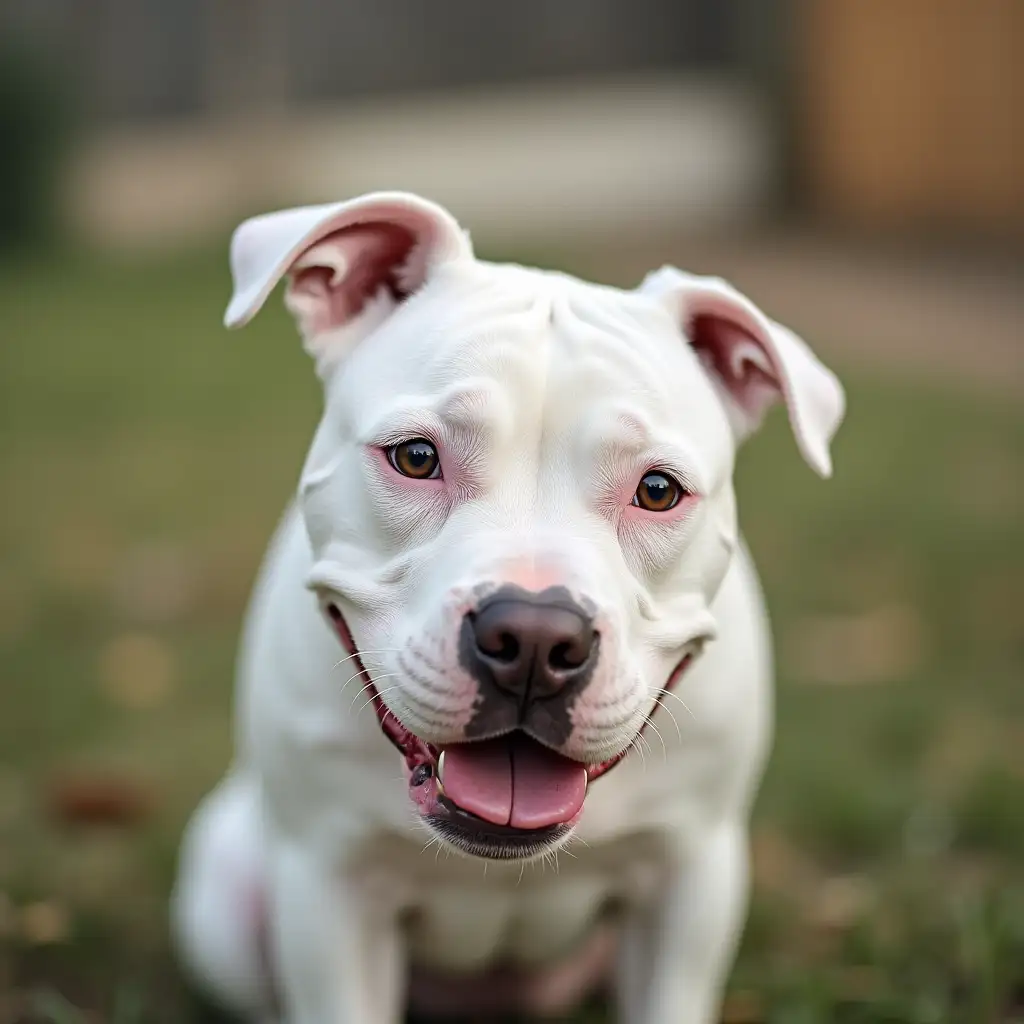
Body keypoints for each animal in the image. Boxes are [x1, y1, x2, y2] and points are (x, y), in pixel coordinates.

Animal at [169, 193, 839, 1024]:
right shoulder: (329, 886)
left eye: (658, 490)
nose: (535, 640)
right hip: (225, 893)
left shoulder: (690, 878)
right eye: (415, 457)